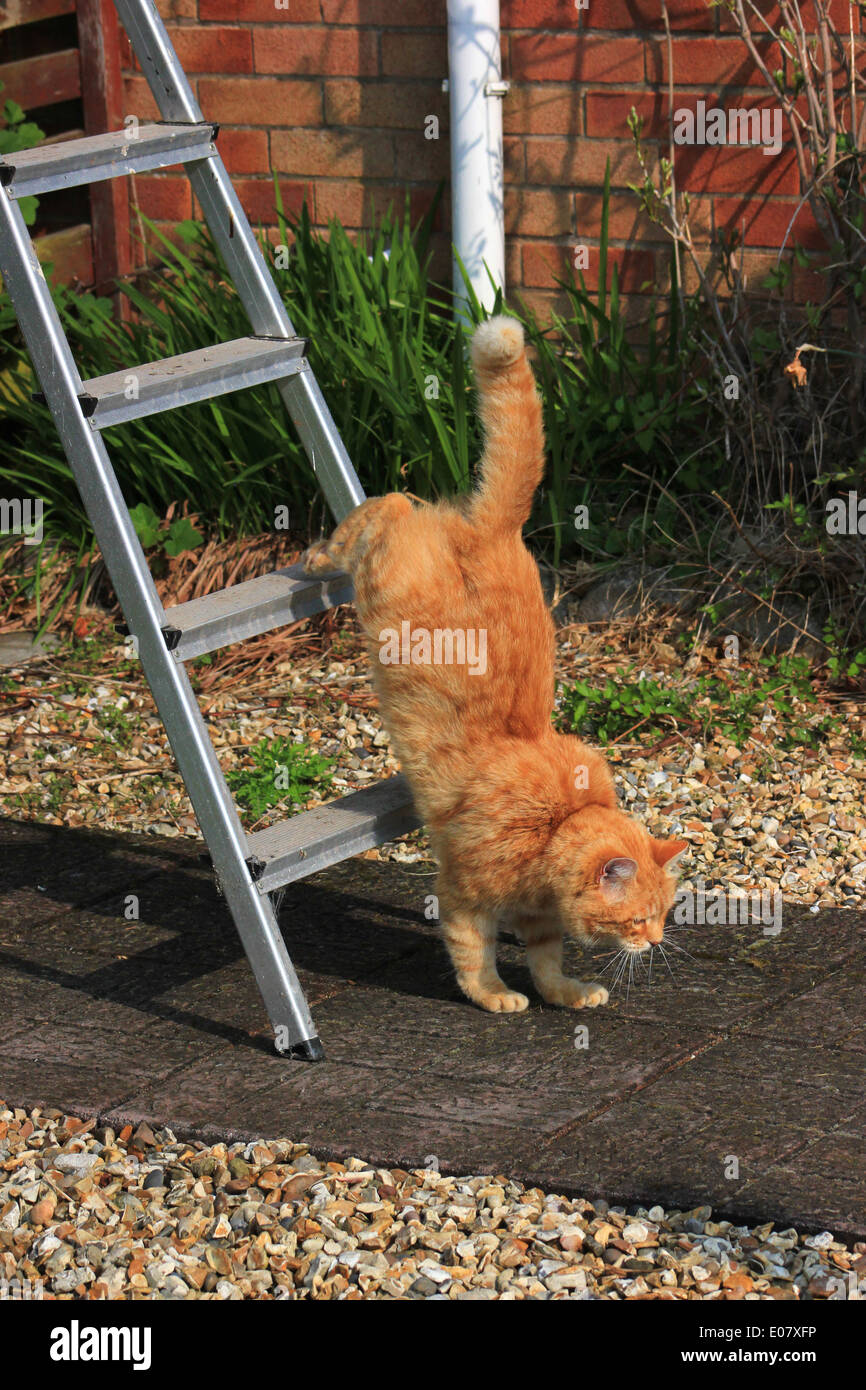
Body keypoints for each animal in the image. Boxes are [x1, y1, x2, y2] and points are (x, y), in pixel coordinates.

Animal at [301, 318, 686, 1011]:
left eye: (667, 913)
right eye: (638, 919)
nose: (657, 943)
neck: (553, 827)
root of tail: (494, 528)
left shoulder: (538, 916)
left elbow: (547, 960)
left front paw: (567, 994)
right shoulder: (462, 893)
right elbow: (472, 955)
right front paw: (495, 997)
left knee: (396, 499)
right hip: (383, 566)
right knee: (388, 502)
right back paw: (319, 555)